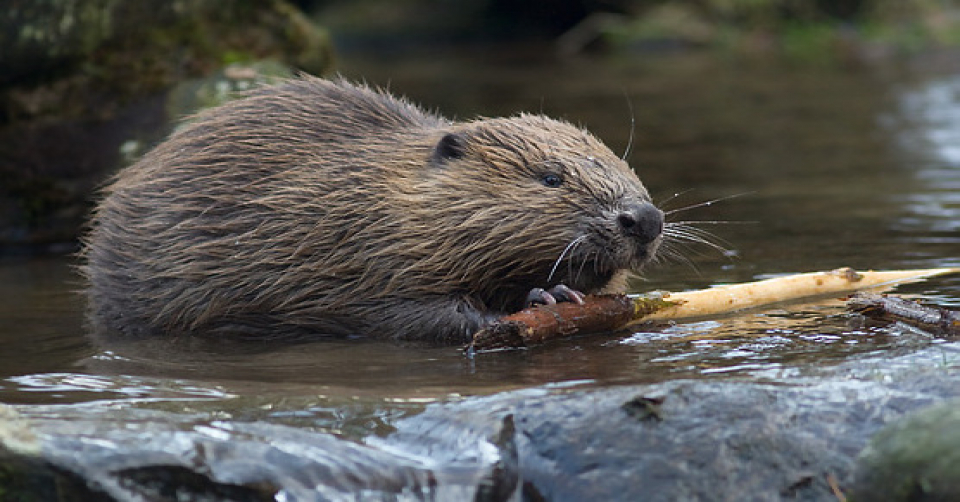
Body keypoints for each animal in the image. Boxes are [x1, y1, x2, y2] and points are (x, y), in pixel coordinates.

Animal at [80, 77, 660, 346]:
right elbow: (401, 312)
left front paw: (560, 292)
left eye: (622, 163)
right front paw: (537, 301)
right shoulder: (351, 258)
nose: (645, 220)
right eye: (550, 177)